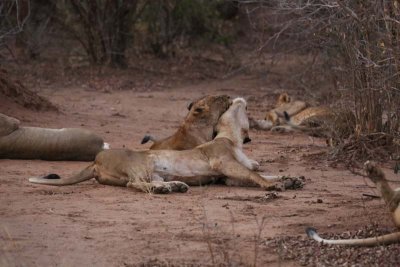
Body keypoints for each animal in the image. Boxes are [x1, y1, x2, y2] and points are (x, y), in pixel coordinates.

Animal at [28, 97, 284, 194]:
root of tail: (95, 161)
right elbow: (253, 174)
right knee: (134, 183)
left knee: (150, 182)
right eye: (229, 106)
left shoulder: (227, 175)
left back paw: (175, 185)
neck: (234, 140)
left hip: (155, 172)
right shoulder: (220, 162)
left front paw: (288, 179)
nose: (238, 98)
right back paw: (167, 189)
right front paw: (274, 185)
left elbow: (259, 173)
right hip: (140, 164)